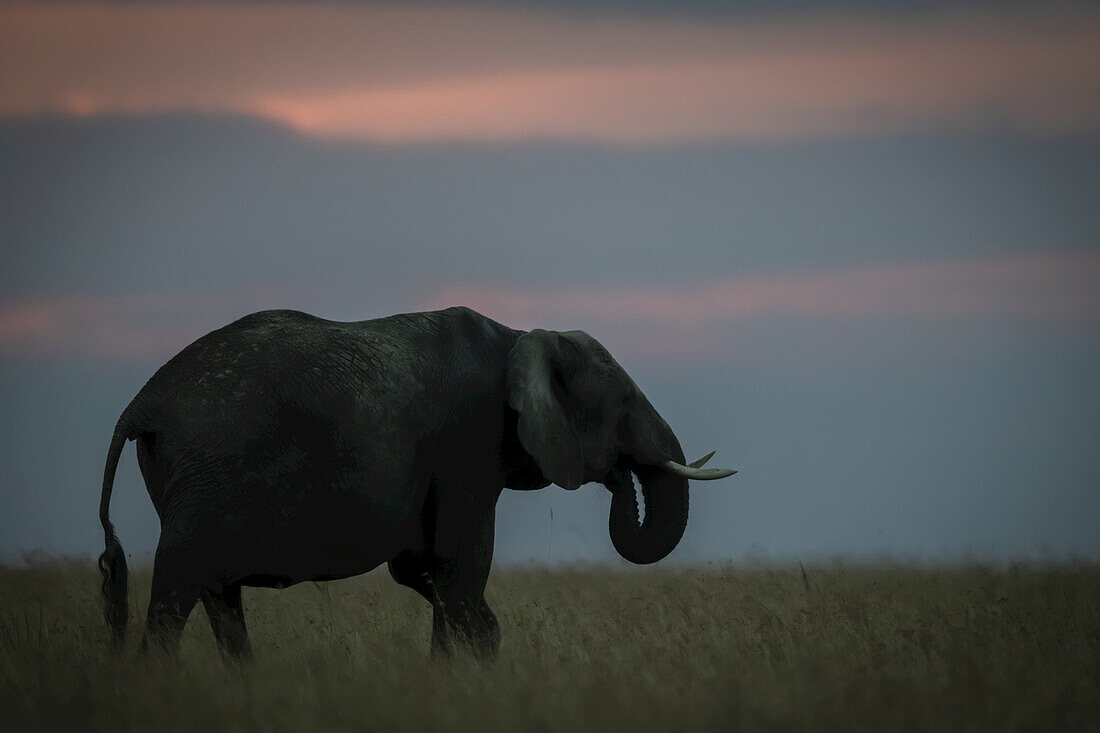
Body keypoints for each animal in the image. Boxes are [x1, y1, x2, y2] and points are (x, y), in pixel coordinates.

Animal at [99, 305, 734, 651]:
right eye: (622, 401)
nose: (623, 475)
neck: (522, 335)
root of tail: (140, 403)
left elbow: (420, 569)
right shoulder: (467, 444)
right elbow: (460, 563)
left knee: (218, 598)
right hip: (204, 476)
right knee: (177, 589)